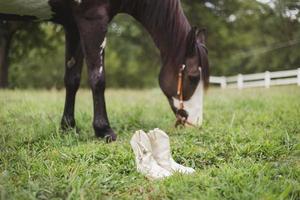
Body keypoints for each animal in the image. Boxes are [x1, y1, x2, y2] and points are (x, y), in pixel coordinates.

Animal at [0, 0, 209, 143]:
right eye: (193, 77)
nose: (197, 122)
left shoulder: (73, 25)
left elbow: (72, 79)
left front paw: (68, 126)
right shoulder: (93, 18)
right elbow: (97, 78)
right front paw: (104, 130)